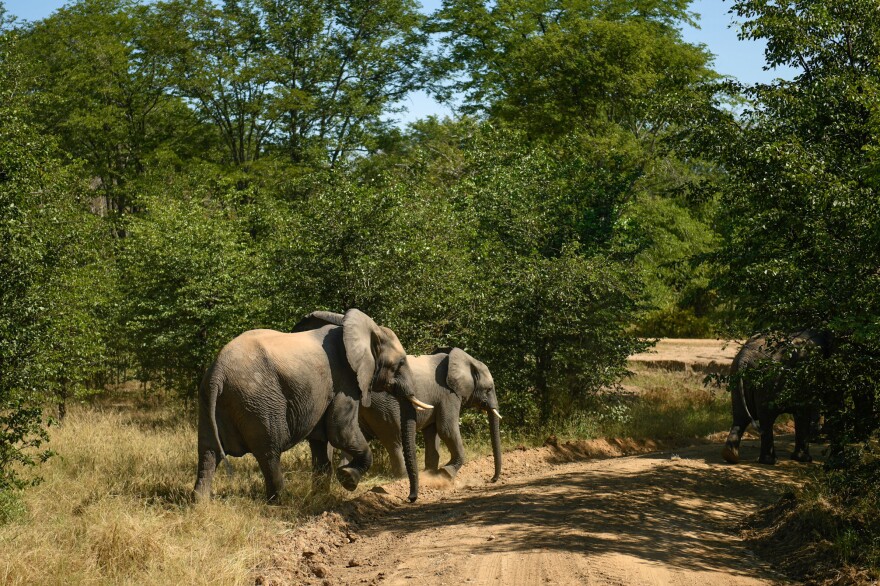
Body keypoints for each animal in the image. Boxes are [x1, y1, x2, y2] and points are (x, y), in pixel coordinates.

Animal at [193, 309, 434, 503]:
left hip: (209, 401)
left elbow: (321, 441)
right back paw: (280, 501)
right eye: (400, 363)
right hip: (259, 402)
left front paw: (322, 496)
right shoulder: (343, 381)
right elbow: (340, 432)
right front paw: (348, 479)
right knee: (269, 452)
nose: (410, 498)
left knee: (208, 452)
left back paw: (201, 504)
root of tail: (218, 373)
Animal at [293, 312, 503, 483]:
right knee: (394, 437)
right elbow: (447, 429)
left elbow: (432, 434)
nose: (491, 479)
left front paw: (431, 474)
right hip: (383, 404)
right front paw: (446, 474)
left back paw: (344, 477)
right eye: (489, 389)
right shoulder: (448, 395)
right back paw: (400, 478)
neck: (467, 359)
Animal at [721, 330, 830, 465]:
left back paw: (730, 456)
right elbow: (804, 411)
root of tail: (744, 358)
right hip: (768, 379)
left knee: (740, 417)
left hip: (736, 376)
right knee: (767, 418)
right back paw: (770, 461)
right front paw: (805, 459)